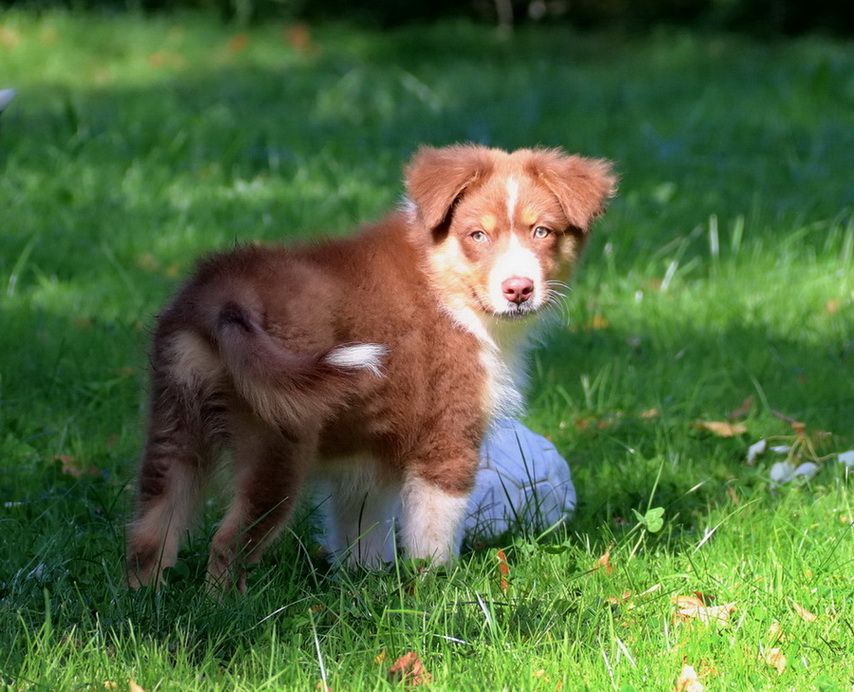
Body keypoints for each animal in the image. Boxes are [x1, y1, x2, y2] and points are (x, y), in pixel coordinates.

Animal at [125, 145, 616, 588]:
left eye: (542, 231)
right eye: (477, 235)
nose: (519, 289)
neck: (445, 280)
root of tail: (222, 298)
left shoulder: (367, 453)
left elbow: (361, 528)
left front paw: (368, 586)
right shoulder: (448, 438)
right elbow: (433, 531)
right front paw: (437, 589)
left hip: (176, 419)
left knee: (150, 532)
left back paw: (146, 602)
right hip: (274, 444)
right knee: (227, 545)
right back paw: (230, 608)